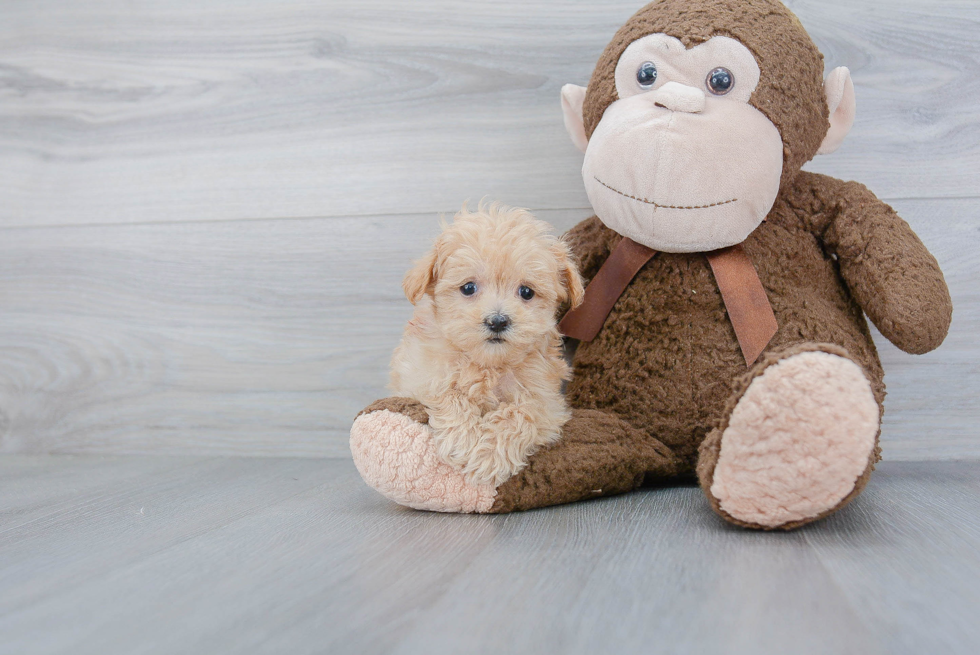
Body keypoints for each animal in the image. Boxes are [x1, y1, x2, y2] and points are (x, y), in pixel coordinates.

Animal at [390, 205, 584, 486]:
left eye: (526, 292)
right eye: (468, 287)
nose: (498, 321)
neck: (488, 365)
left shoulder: (547, 402)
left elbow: (521, 414)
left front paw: (488, 456)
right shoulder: (418, 377)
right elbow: (447, 392)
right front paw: (462, 440)